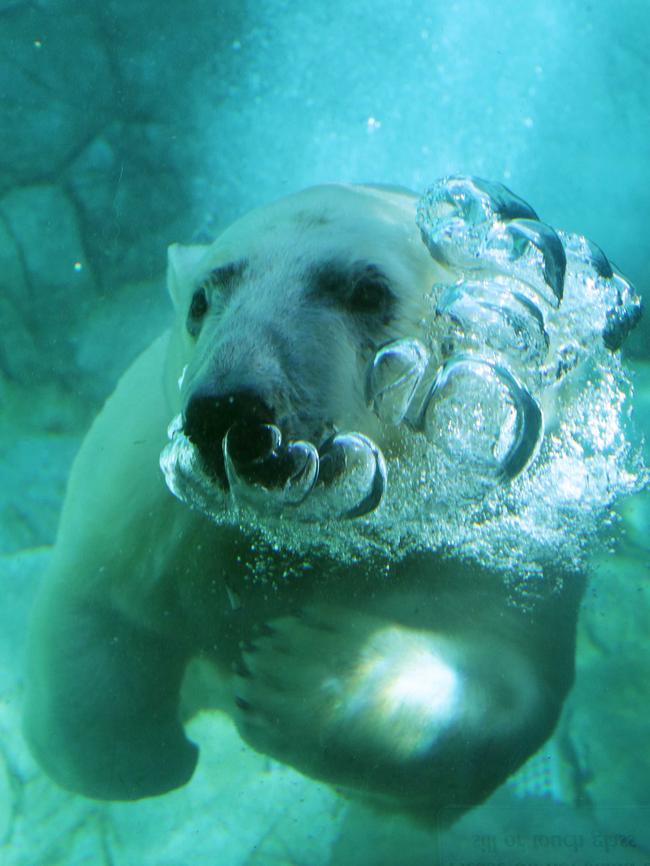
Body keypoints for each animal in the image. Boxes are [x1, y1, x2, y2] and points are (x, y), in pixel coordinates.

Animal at [22, 179, 640, 820]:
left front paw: (292, 672)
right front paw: (155, 756)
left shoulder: (509, 527)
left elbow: (506, 684)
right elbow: (93, 605)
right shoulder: (151, 506)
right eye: (201, 299)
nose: (230, 409)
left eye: (368, 291)